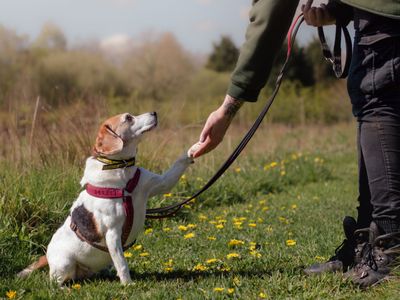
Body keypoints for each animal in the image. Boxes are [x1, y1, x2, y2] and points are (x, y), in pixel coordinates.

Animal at [18, 111, 196, 284]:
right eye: (128, 118)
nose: (154, 113)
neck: (122, 171)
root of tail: (47, 255)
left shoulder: (162, 183)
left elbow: (178, 165)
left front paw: (194, 148)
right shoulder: (113, 234)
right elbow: (122, 263)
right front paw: (128, 285)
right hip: (65, 264)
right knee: (55, 282)